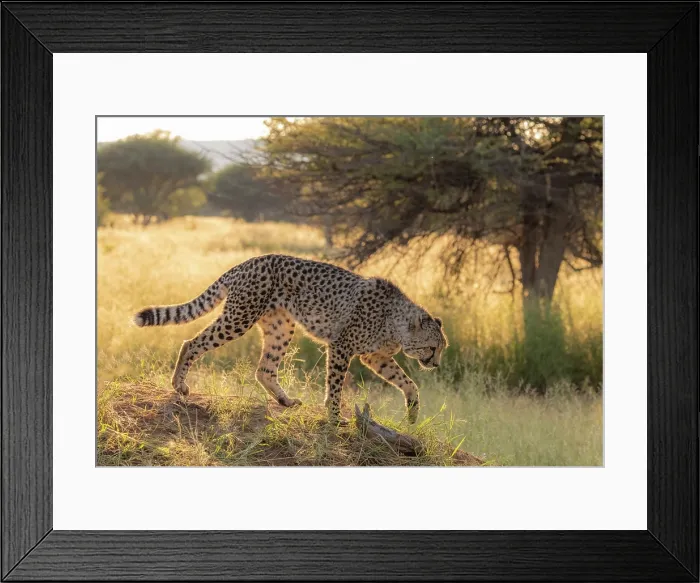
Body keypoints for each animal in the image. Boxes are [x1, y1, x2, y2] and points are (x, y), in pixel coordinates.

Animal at [132, 254, 448, 424]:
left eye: (441, 349)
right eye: (432, 347)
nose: (436, 365)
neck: (396, 323)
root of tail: (248, 262)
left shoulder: (375, 356)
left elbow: (407, 382)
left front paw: (412, 413)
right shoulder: (341, 346)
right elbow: (335, 385)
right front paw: (335, 417)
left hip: (281, 327)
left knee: (264, 369)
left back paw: (284, 400)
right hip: (239, 318)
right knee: (192, 343)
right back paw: (179, 384)